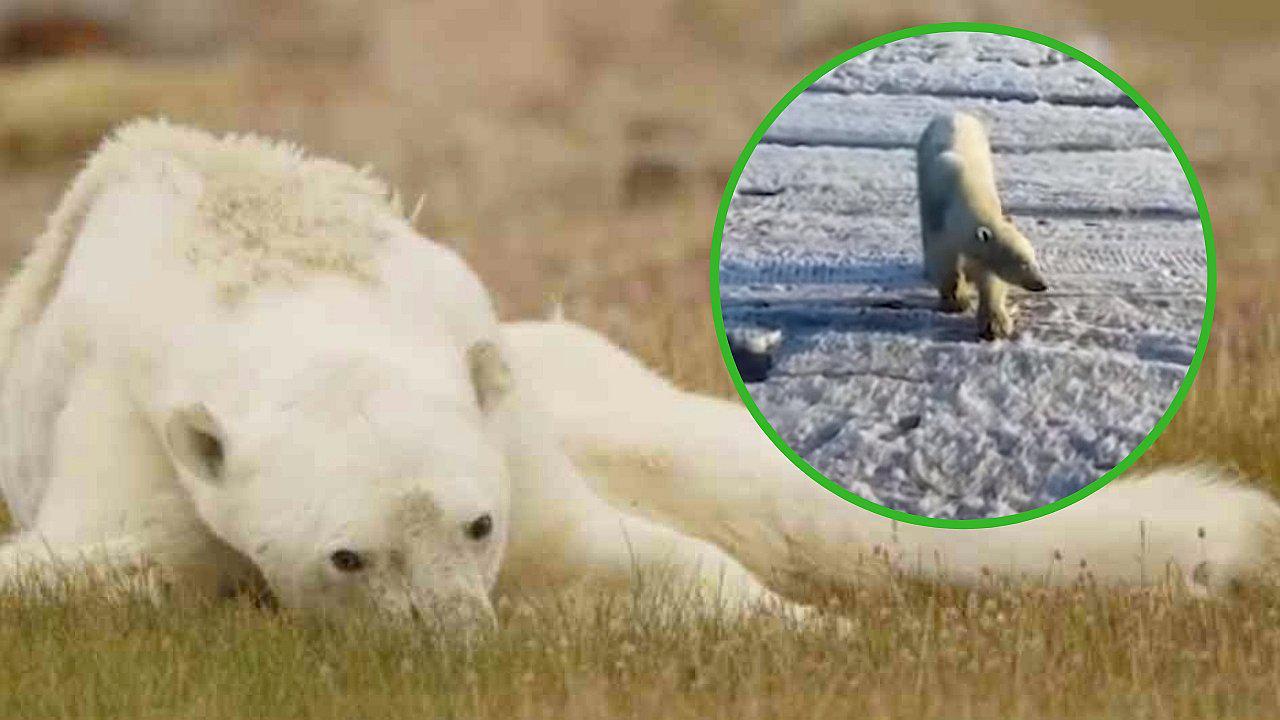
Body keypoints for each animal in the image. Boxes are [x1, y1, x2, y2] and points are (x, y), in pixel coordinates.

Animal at [0, 120, 792, 624]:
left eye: (479, 524)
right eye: (347, 557)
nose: (457, 633)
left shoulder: (503, 423)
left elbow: (597, 548)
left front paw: (797, 623)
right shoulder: (129, 427)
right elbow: (115, 550)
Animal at [916, 110, 1048, 340]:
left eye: (1033, 258)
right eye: (1022, 262)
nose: (1042, 284)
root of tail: (954, 112)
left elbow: (990, 277)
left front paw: (995, 324)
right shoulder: (938, 218)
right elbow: (943, 259)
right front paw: (955, 300)